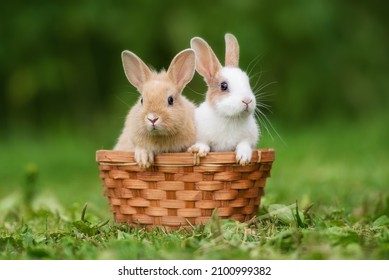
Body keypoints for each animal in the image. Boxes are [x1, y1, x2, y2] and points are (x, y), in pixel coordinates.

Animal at [187, 33, 258, 165]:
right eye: (223, 86)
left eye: (247, 81)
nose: (247, 100)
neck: (230, 118)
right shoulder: (201, 135)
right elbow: (204, 143)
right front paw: (199, 150)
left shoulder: (249, 138)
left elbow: (244, 144)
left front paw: (243, 158)